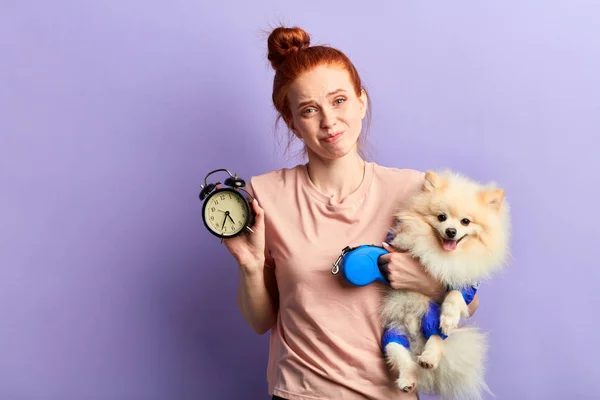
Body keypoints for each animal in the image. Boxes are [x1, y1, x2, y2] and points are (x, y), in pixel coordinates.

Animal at [380, 170, 510, 400]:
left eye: (465, 222)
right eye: (441, 217)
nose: (451, 231)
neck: (445, 254)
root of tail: (416, 343)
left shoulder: (467, 283)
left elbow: (455, 294)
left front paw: (449, 317)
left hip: (430, 320)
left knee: (436, 339)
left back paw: (428, 358)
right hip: (393, 333)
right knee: (400, 356)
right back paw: (407, 379)